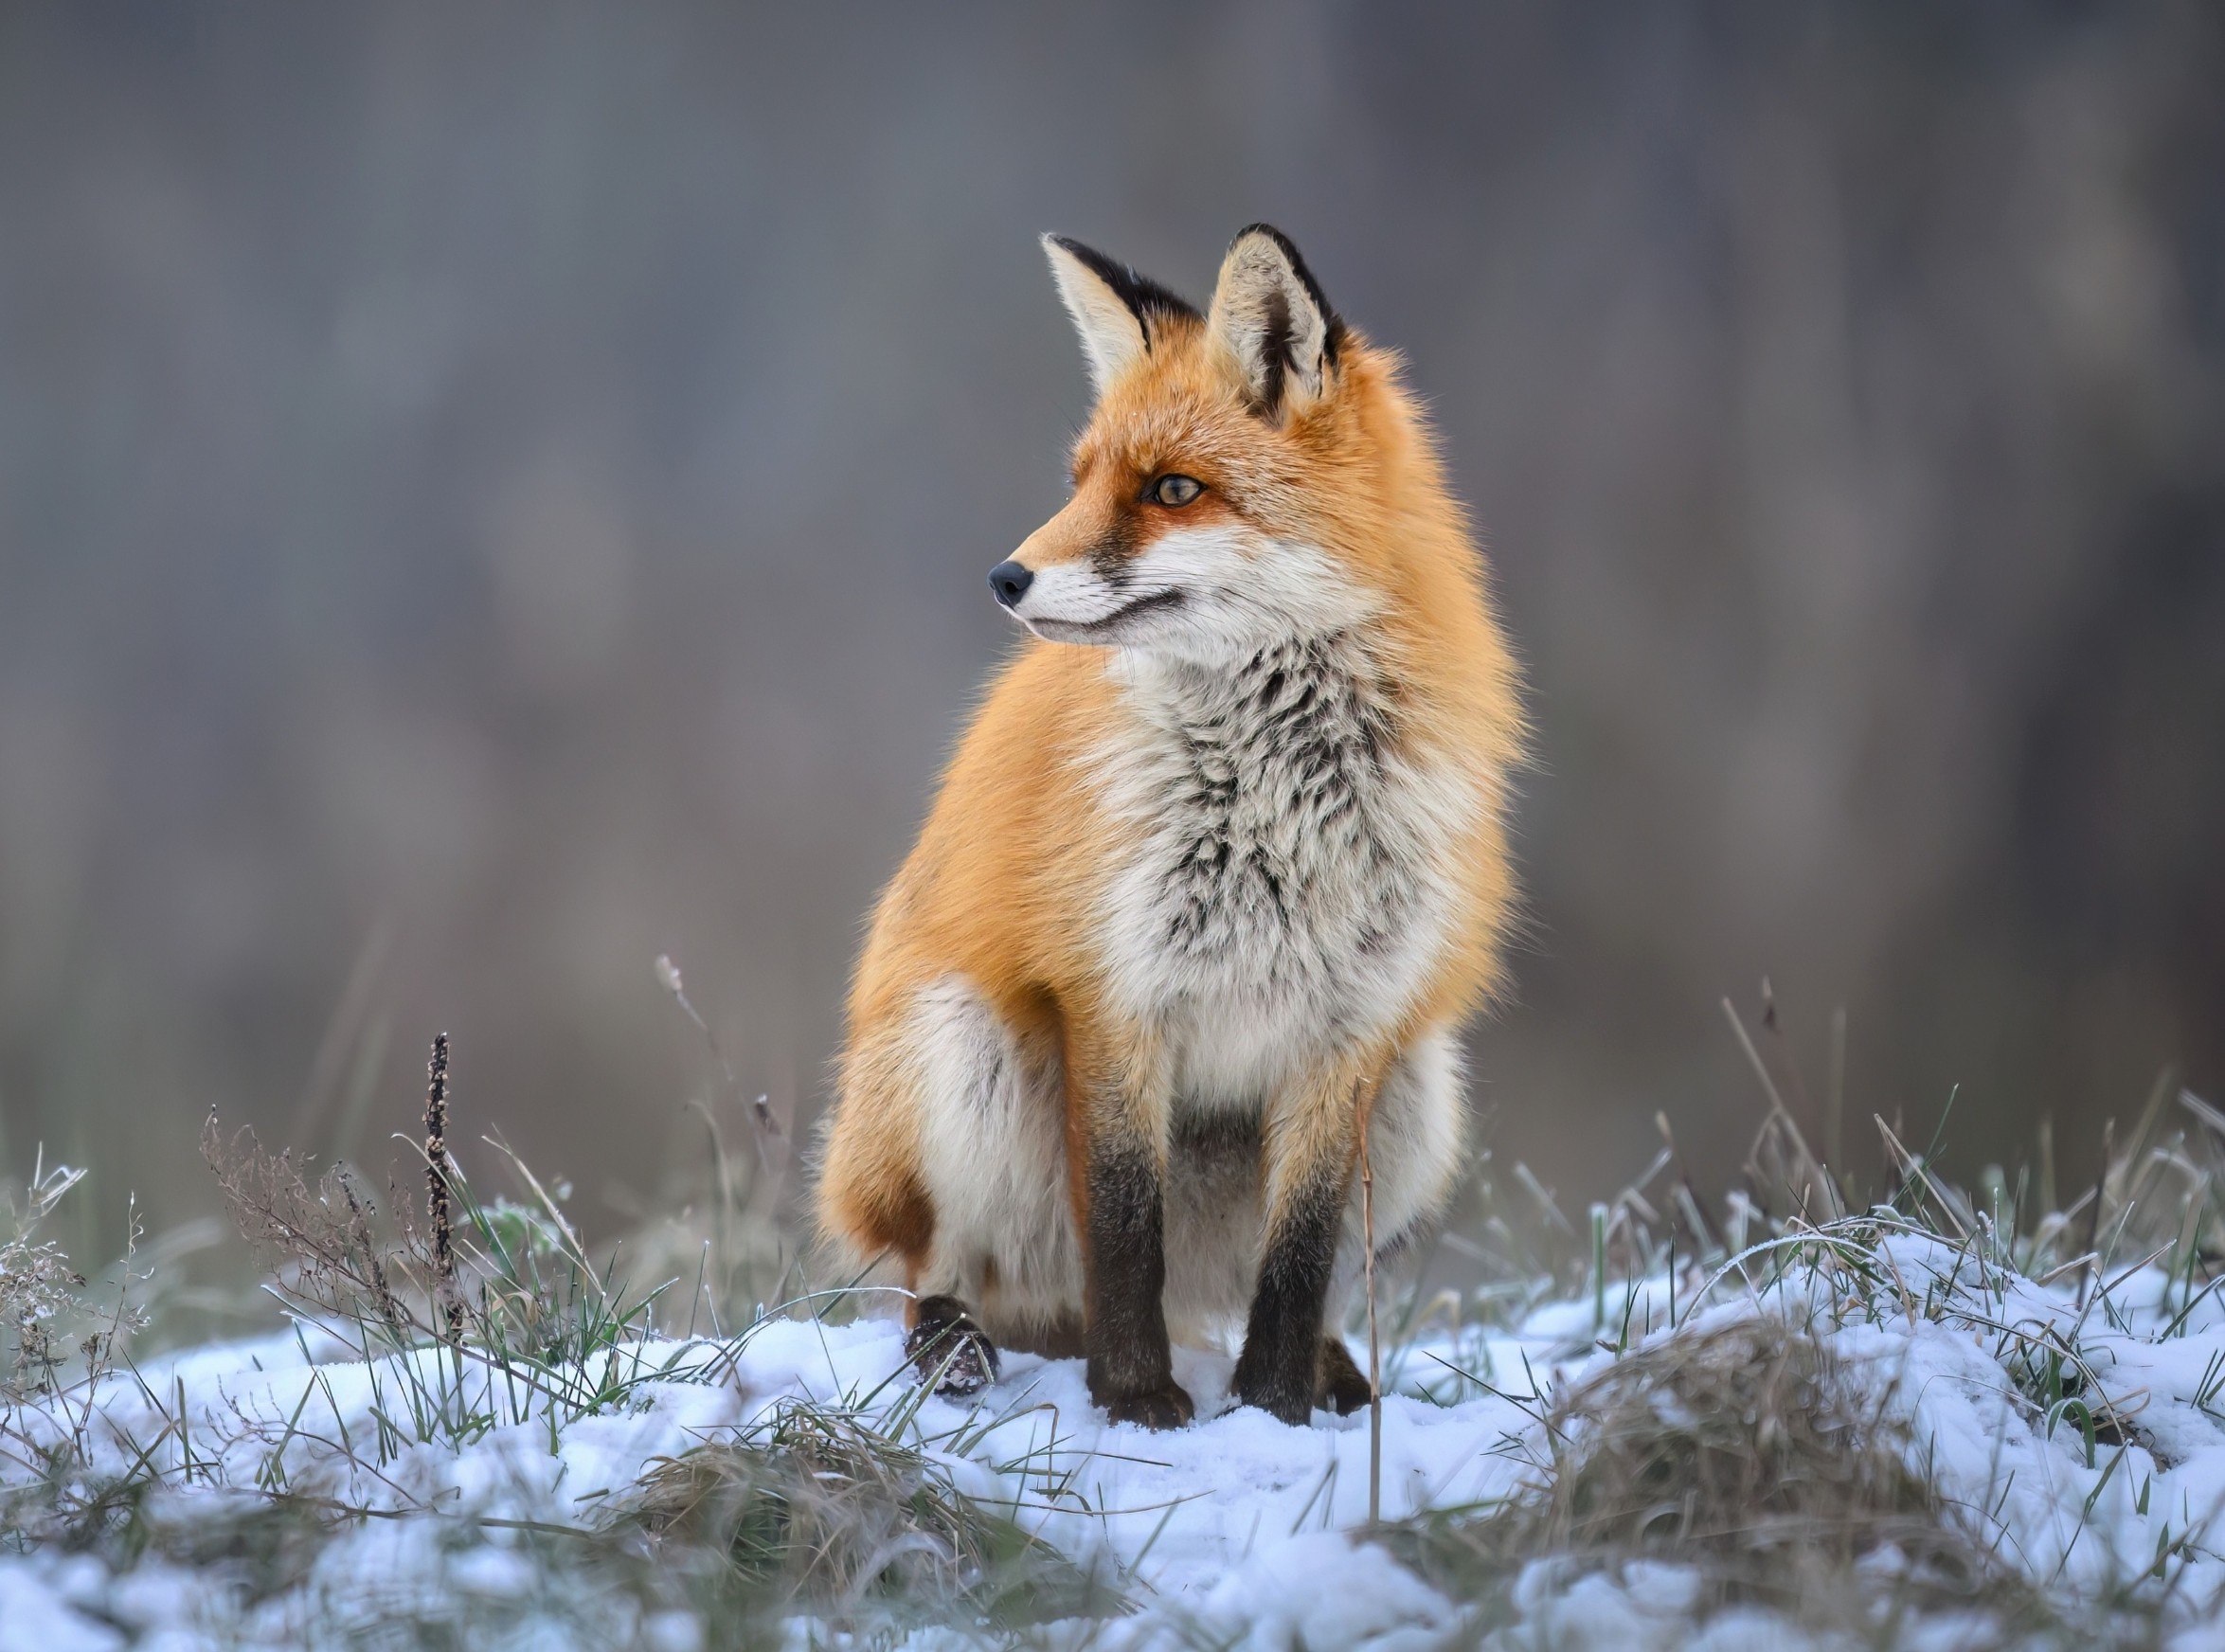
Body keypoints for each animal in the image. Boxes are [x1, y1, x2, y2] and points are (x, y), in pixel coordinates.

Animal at [814, 225, 1522, 1429]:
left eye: (1173, 489)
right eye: (1082, 481)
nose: (1005, 576)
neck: (1278, 793)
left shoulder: (1352, 1026)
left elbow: (1298, 1256)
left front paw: (1274, 1408)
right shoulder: (1115, 991)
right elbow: (1125, 1228)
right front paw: (1138, 1398)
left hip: (1421, 1092)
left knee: (1290, 1279)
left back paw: (1333, 1373)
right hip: (958, 1052)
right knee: (936, 1268)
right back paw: (955, 1348)